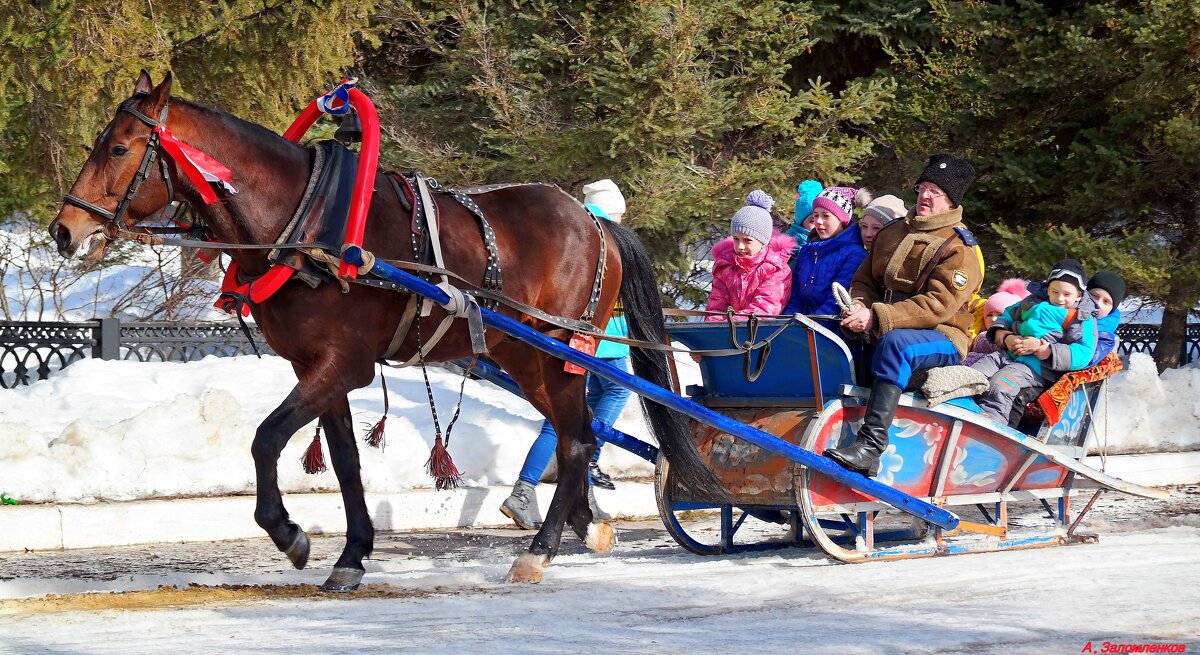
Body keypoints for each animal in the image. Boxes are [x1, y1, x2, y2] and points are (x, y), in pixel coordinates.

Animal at [49, 70, 720, 585]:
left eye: (118, 149)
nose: (63, 231)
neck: (305, 222)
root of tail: (593, 219)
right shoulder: (316, 367)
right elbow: (345, 461)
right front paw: (351, 554)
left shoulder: (344, 364)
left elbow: (266, 439)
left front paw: (289, 534)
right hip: (523, 354)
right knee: (571, 434)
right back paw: (584, 525)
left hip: (557, 349)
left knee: (577, 438)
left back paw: (541, 550)